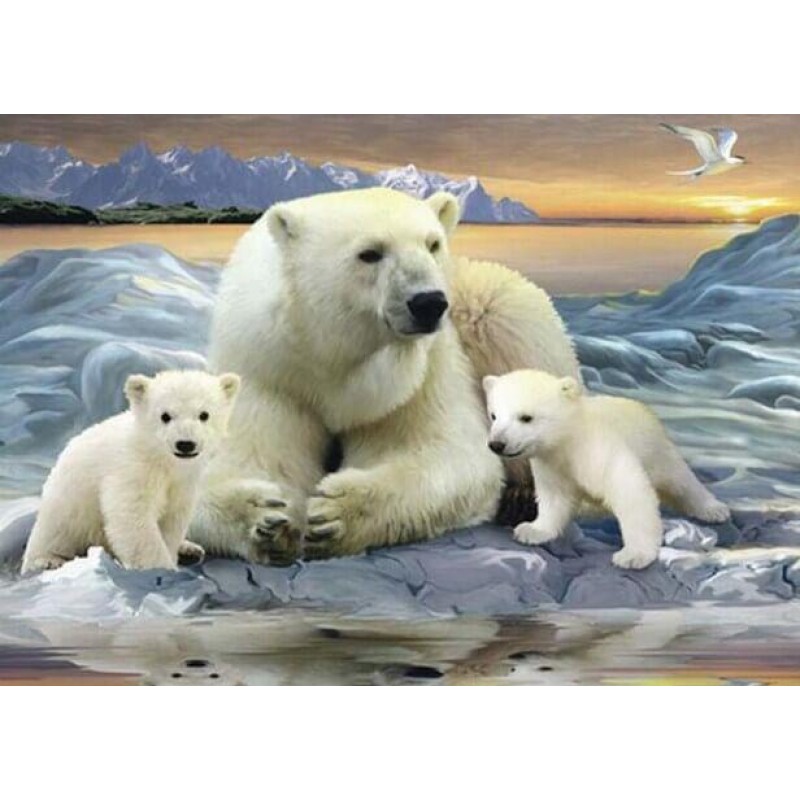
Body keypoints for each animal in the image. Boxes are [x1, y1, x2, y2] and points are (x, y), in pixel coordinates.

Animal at [21, 370, 241, 575]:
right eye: (165, 416)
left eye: (204, 414)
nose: (185, 444)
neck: (160, 458)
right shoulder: (131, 470)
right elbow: (132, 517)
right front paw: (163, 568)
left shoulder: (183, 482)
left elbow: (172, 518)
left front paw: (174, 552)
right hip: (67, 508)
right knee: (54, 533)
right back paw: (47, 560)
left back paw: (190, 549)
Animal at [189, 187, 580, 564]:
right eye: (370, 253)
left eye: (432, 243)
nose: (429, 302)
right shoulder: (269, 370)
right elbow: (249, 460)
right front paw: (264, 520)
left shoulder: (417, 377)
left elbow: (442, 451)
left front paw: (336, 514)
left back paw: (523, 496)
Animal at [483, 369, 731, 569]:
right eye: (494, 415)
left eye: (526, 417)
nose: (497, 444)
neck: (570, 438)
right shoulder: (551, 463)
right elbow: (555, 497)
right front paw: (532, 530)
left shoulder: (598, 449)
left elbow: (629, 490)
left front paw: (633, 556)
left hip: (657, 450)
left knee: (681, 480)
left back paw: (714, 509)